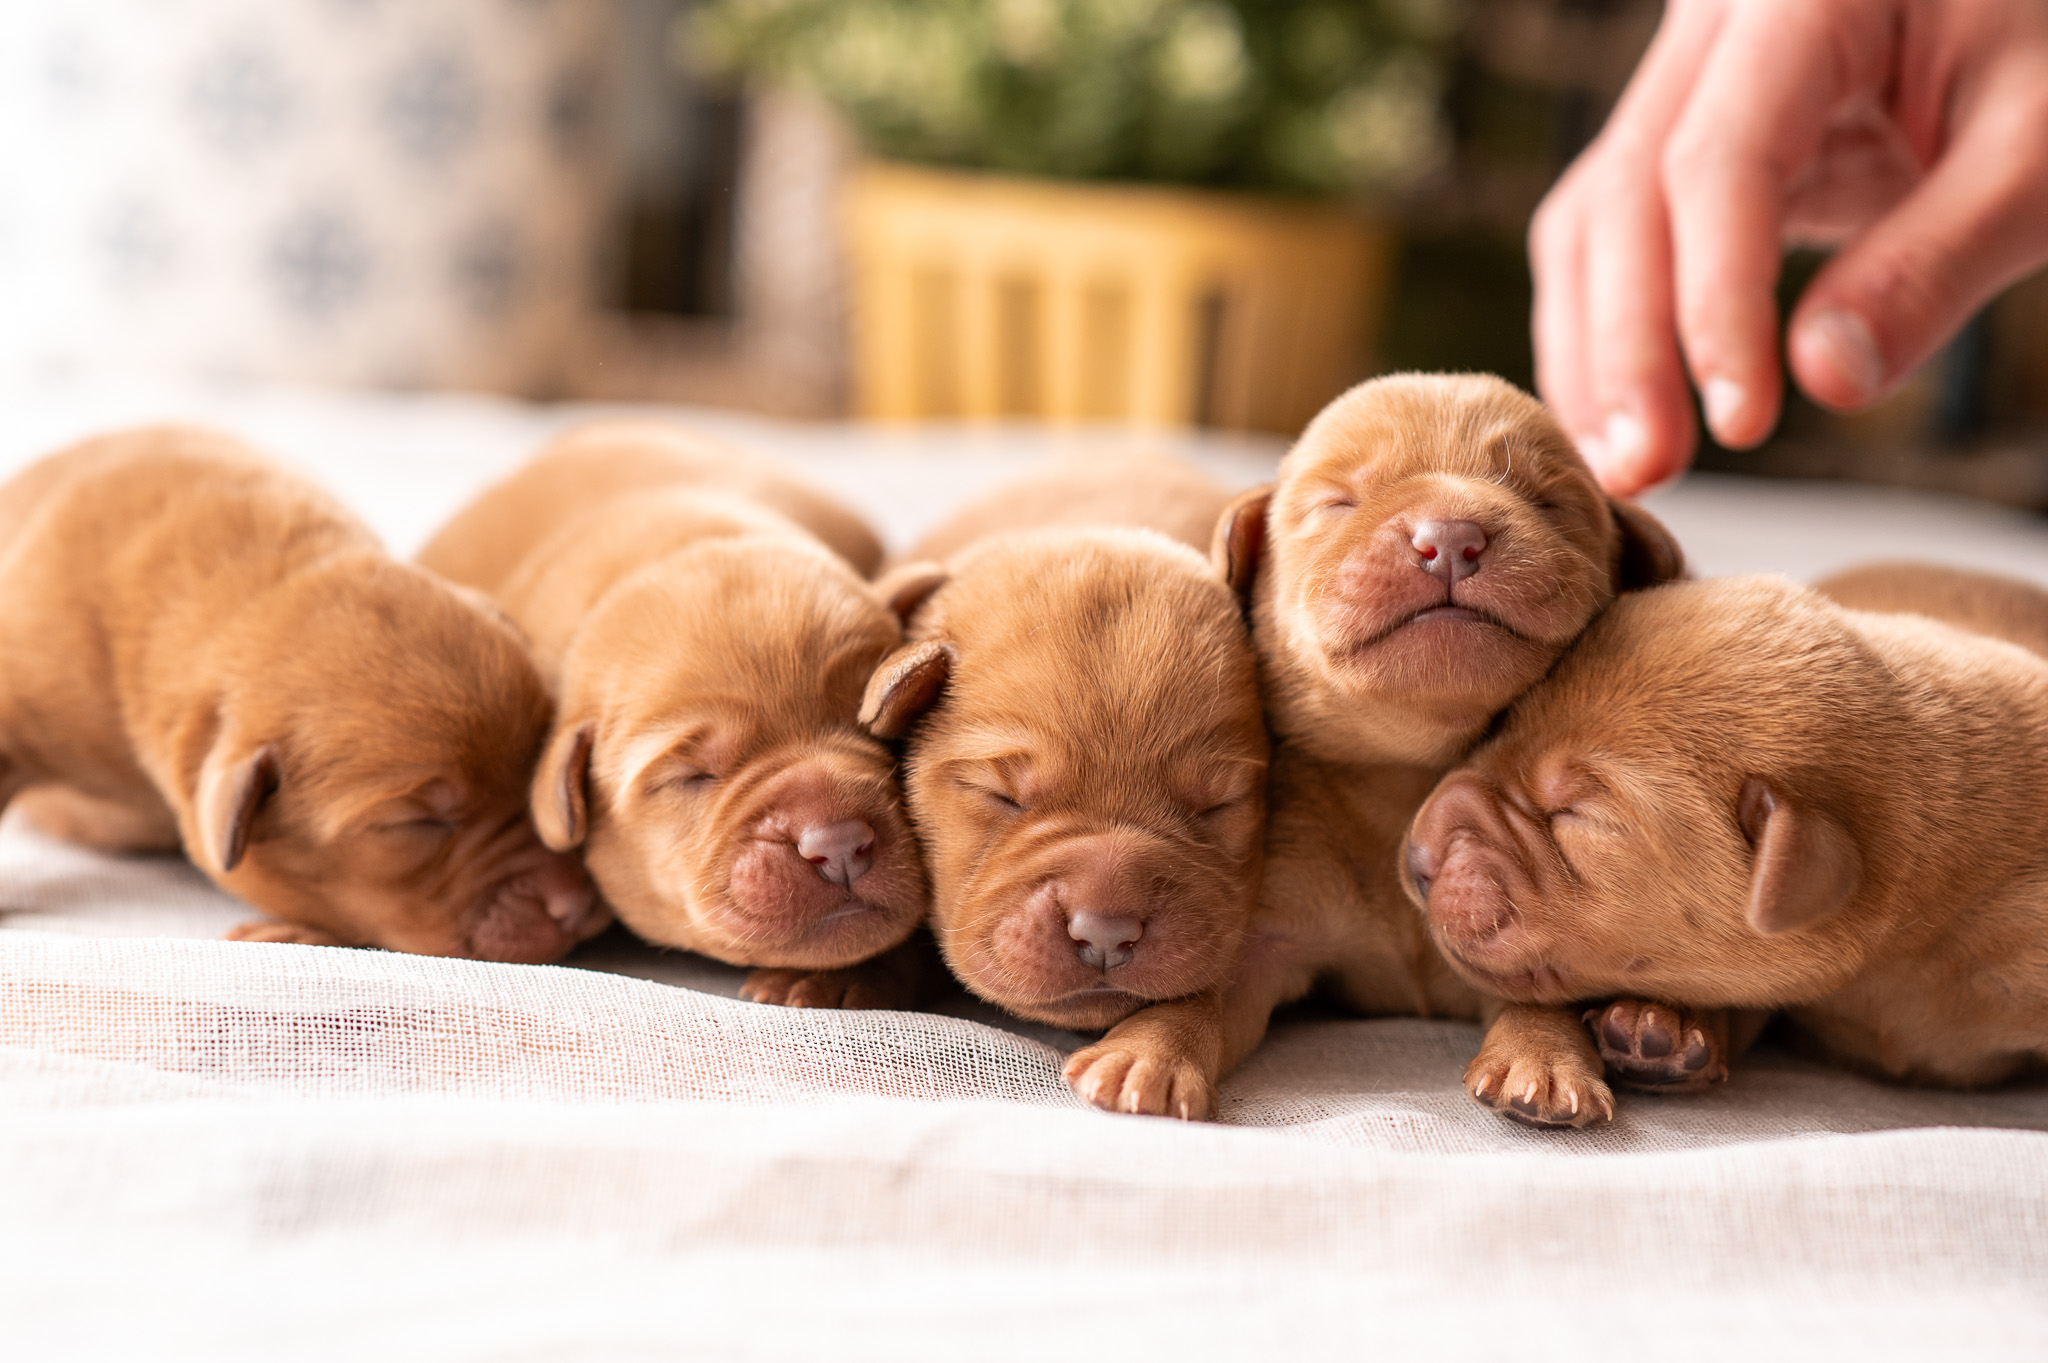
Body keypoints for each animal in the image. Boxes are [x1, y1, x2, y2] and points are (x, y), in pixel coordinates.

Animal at [1064, 374, 1687, 1121]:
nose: (1450, 537)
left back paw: (1663, 1030)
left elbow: (1536, 979)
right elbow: (1207, 991)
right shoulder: (1270, 927)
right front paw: (1150, 1050)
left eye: (1550, 500)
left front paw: (1543, 1055)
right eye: (1339, 502)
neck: (1406, 776)